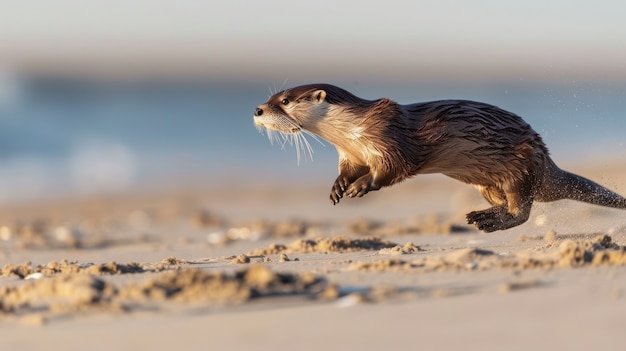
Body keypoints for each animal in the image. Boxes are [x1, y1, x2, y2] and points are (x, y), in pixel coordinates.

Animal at [251, 84, 620, 234]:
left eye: (284, 100)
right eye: (272, 97)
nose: (257, 109)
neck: (352, 131)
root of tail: (546, 160)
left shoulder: (388, 139)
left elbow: (392, 168)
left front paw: (362, 185)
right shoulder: (351, 154)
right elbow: (348, 169)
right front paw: (339, 185)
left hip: (520, 167)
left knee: (522, 211)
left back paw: (489, 221)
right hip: (488, 182)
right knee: (507, 204)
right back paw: (481, 216)